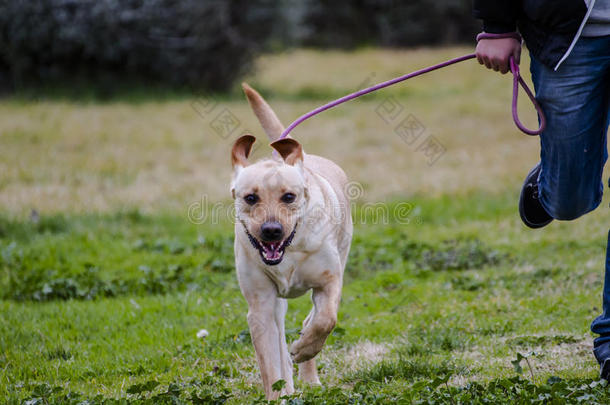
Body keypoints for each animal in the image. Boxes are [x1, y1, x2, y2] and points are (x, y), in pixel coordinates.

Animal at [229, 83, 352, 398]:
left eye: (289, 197)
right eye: (251, 198)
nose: (271, 230)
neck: (290, 251)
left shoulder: (329, 281)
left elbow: (326, 320)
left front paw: (305, 348)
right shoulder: (260, 305)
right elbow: (270, 363)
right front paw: (277, 395)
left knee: (313, 318)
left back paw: (309, 373)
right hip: (276, 307)